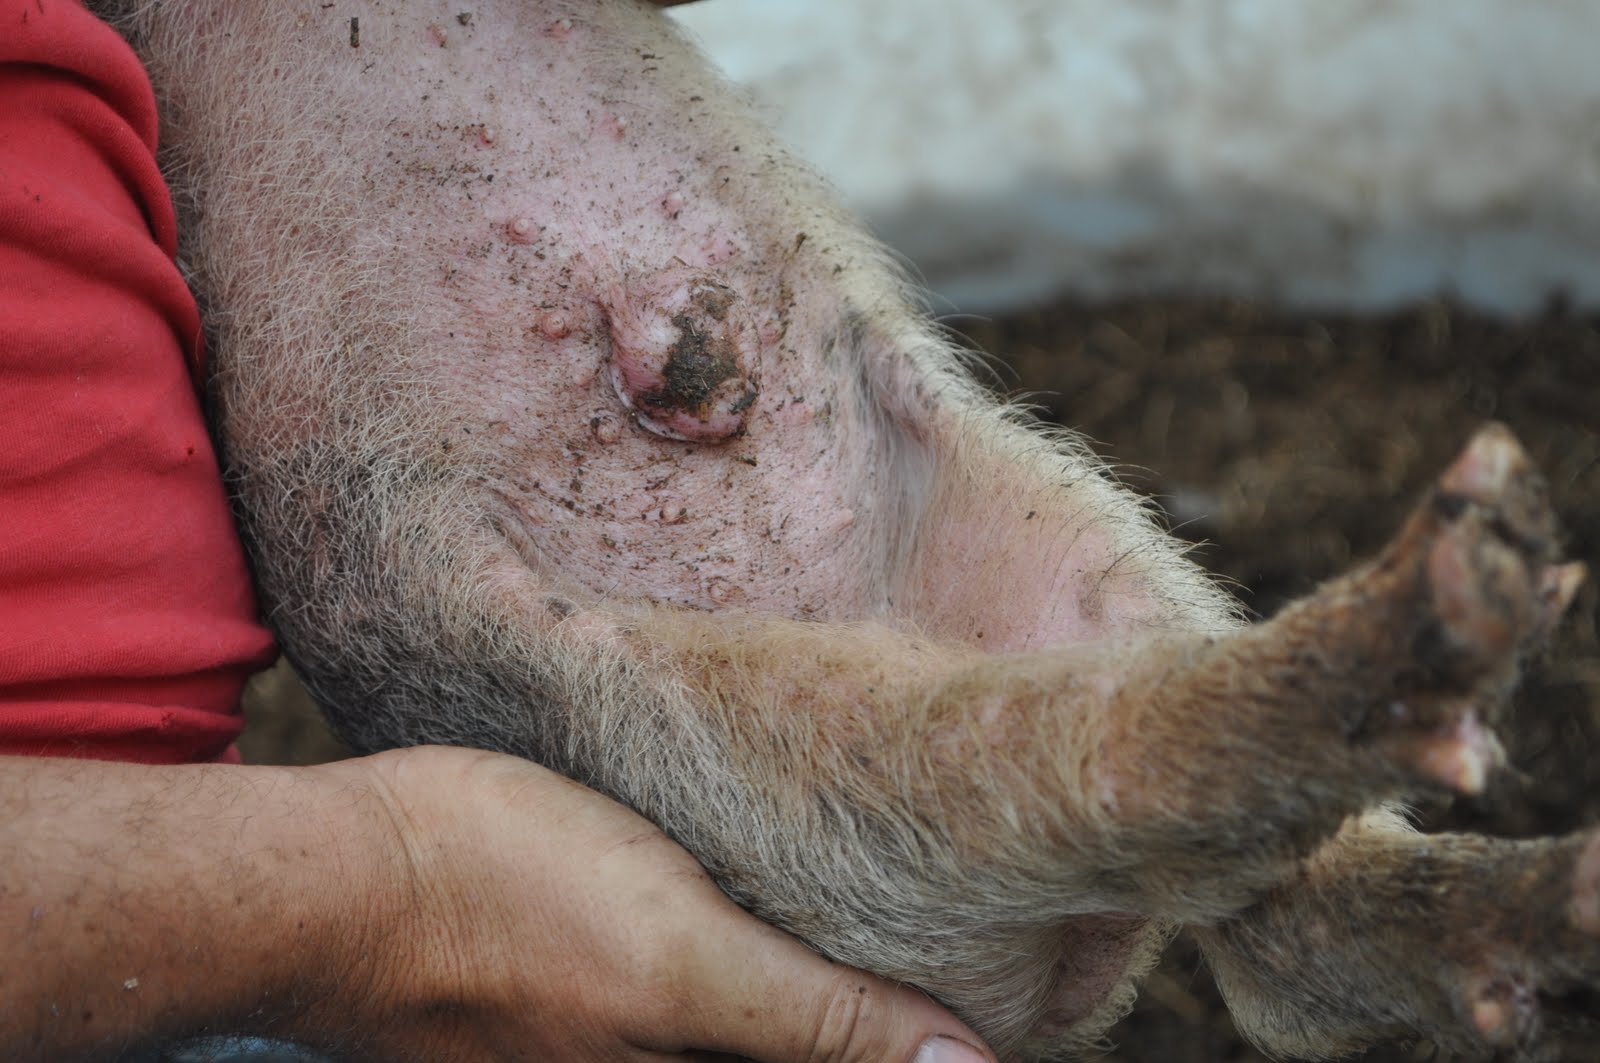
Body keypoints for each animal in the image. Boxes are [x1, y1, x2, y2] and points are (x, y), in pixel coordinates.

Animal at [92, 1, 1598, 1059]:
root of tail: (1061, 976)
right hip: (711, 743)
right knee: (1055, 767)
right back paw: (1482, 584)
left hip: (1066, 520)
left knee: (1273, 919)